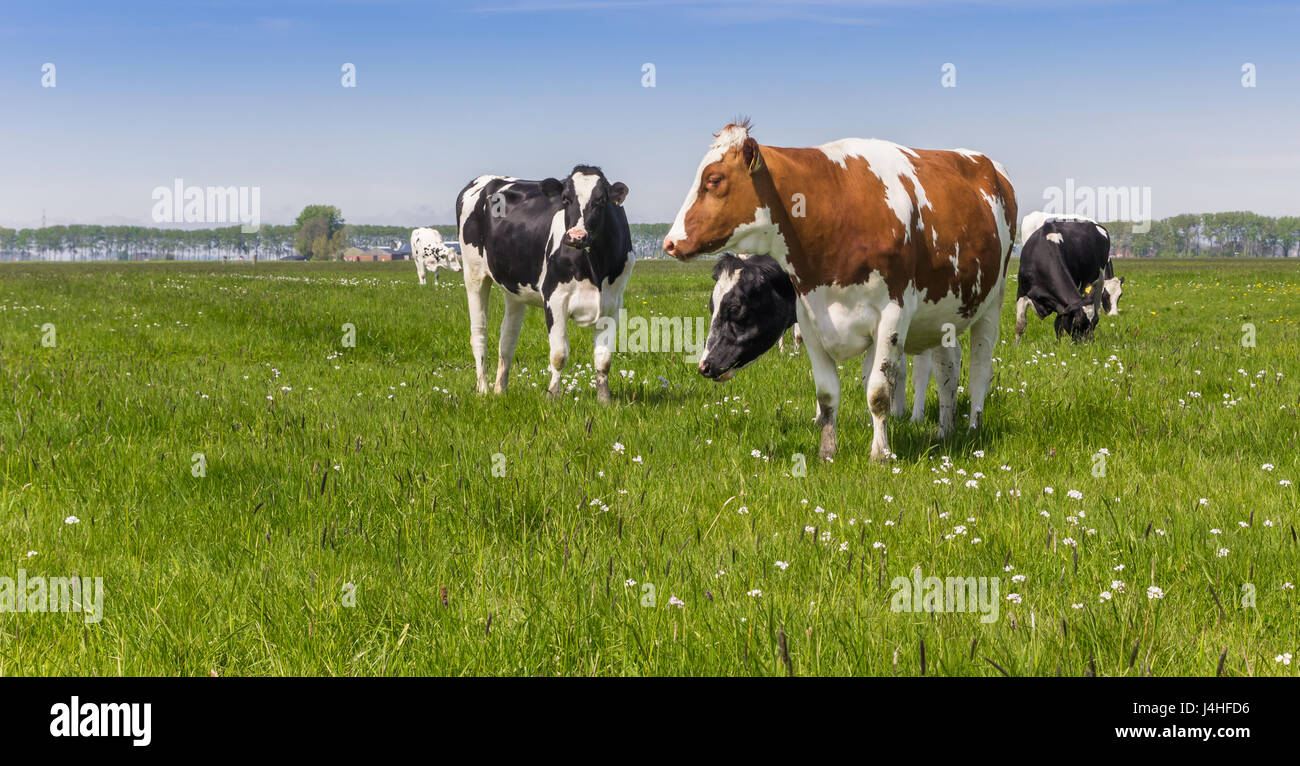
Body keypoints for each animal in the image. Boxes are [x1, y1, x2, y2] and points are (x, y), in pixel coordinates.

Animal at [456, 166, 633, 403]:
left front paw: (604, 400)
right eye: (566, 199)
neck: (594, 264)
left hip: (514, 288)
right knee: (479, 333)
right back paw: (483, 389)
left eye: (601, 200)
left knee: (508, 338)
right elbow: (559, 354)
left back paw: (500, 389)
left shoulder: (612, 304)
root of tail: (486, 179)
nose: (576, 236)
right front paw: (552, 396)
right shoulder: (555, 299)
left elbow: (603, 358)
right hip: (473, 274)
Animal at [666, 120, 1016, 460]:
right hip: (944, 312)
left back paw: (973, 427)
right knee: (948, 369)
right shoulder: (810, 320)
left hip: (991, 303)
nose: (670, 242)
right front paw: (827, 451)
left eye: (713, 180)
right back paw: (944, 430)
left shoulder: (891, 316)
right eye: (711, 307)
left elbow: (878, 391)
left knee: (980, 367)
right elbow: (828, 394)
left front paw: (880, 453)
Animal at [1014, 213, 1112, 342]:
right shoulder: (1022, 291)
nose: (1088, 344)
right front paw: (1015, 345)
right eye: (1077, 323)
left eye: (1095, 322)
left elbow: (1058, 323)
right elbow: (1020, 324)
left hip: (1100, 279)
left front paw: (1060, 344)